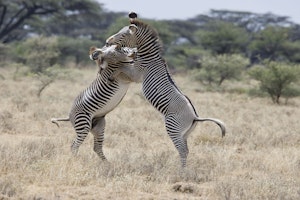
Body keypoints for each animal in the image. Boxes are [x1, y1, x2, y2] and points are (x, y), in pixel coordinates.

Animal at [104, 11, 226, 166]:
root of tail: (195, 117)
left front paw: (111, 75)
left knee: (182, 150)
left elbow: (122, 67)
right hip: (184, 133)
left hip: (173, 127)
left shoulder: (137, 74)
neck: (148, 57)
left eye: (123, 35)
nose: (107, 42)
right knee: (186, 149)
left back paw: (181, 171)